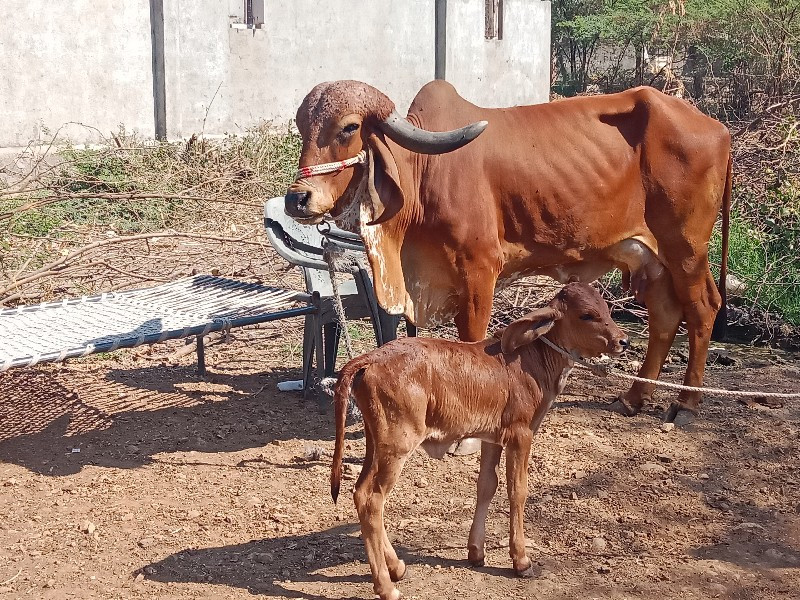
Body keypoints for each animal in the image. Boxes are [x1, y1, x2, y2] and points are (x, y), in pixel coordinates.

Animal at [288, 79, 732, 422]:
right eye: (301, 126)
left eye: (348, 128)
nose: (297, 198)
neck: (425, 175)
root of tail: (718, 128)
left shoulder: (479, 269)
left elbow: (473, 336)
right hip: (650, 256)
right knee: (665, 315)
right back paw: (634, 398)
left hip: (686, 247)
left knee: (703, 308)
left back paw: (686, 404)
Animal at [328, 282, 628, 600]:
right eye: (587, 315)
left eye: (607, 309)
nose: (623, 341)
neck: (531, 359)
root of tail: (370, 358)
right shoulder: (521, 434)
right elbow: (517, 491)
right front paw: (521, 560)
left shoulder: (492, 438)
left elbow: (487, 486)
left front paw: (476, 551)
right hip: (397, 444)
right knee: (373, 499)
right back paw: (386, 586)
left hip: (376, 442)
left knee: (360, 492)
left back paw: (396, 566)